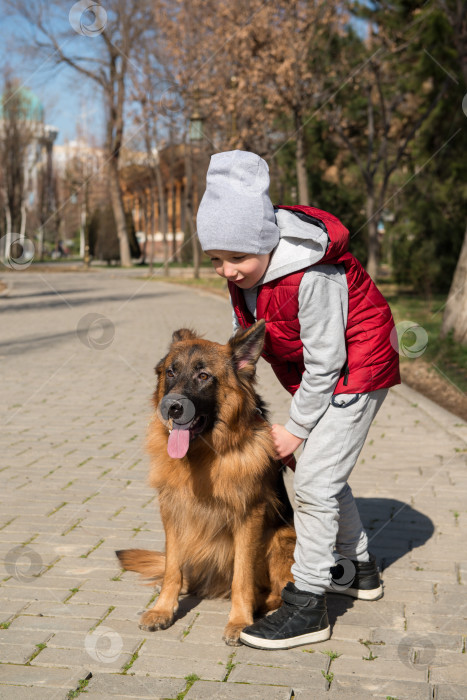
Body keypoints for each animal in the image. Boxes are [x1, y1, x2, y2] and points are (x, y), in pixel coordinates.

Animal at [119, 320, 298, 644]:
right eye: (171, 372)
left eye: (203, 376)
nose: (171, 408)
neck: (203, 455)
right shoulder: (172, 512)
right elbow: (172, 568)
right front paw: (163, 608)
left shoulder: (248, 517)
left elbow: (242, 577)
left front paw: (240, 620)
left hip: (283, 538)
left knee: (278, 590)